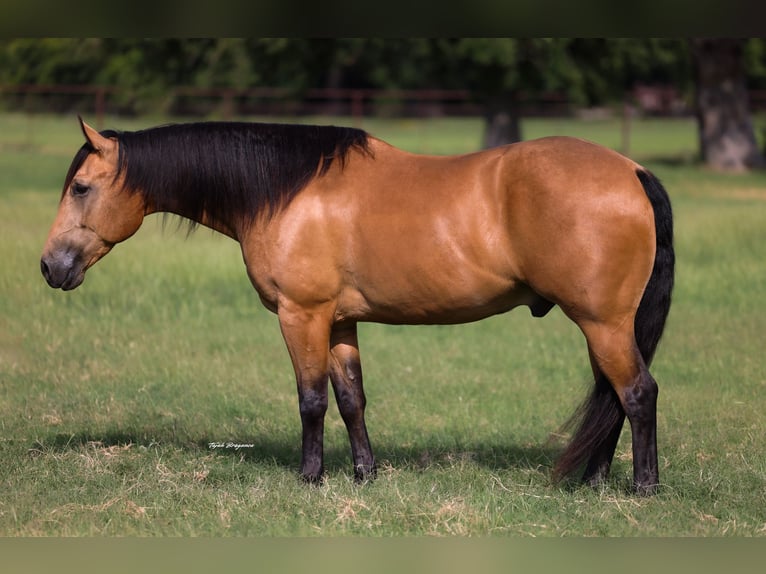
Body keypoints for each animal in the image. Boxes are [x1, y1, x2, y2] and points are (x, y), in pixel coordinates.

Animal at [41, 117, 674, 494]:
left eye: (81, 188)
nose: (50, 266)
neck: (286, 192)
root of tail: (632, 170)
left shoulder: (302, 314)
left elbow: (312, 400)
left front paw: (310, 477)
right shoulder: (340, 320)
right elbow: (351, 399)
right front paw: (364, 474)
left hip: (603, 323)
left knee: (637, 393)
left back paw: (643, 487)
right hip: (601, 326)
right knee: (612, 396)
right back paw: (593, 482)